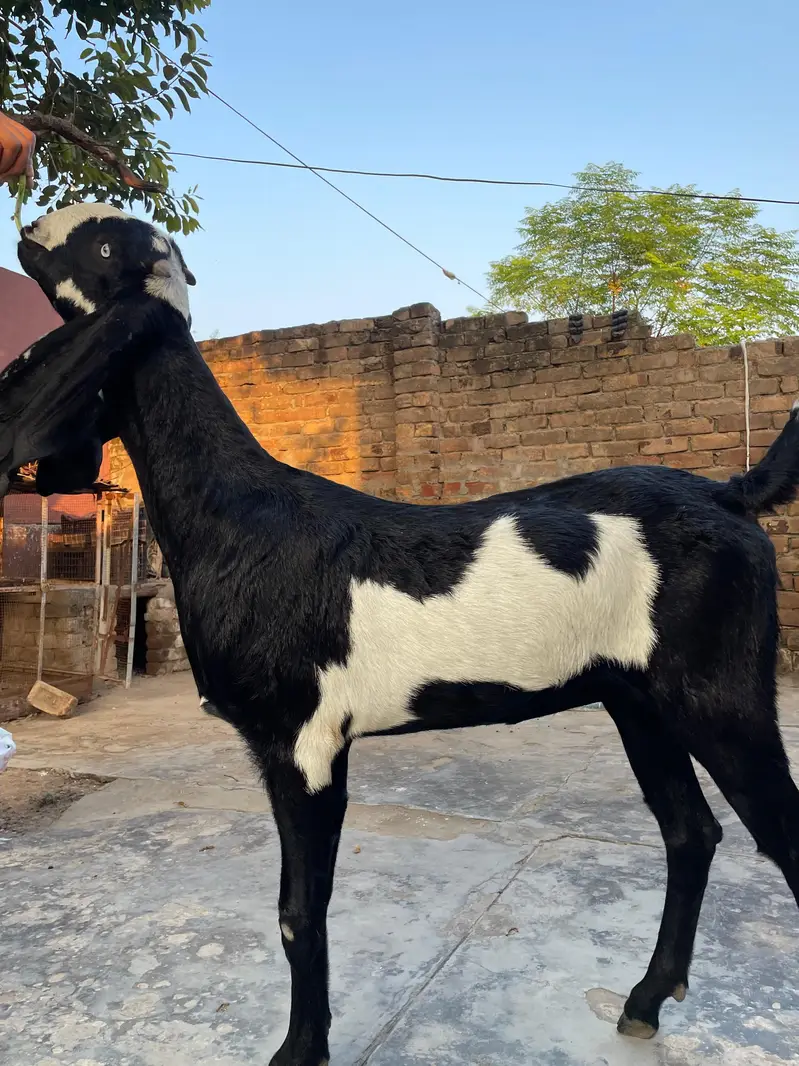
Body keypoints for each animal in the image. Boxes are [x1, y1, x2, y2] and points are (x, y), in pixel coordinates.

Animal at [14, 202, 799, 1066]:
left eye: (104, 244)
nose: (28, 229)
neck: (241, 515)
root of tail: (731, 494)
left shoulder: (304, 740)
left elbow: (299, 913)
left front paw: (299, 1051)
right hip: (639, 701)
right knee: (690, 832)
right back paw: (645, 1001)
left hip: (718, 692)